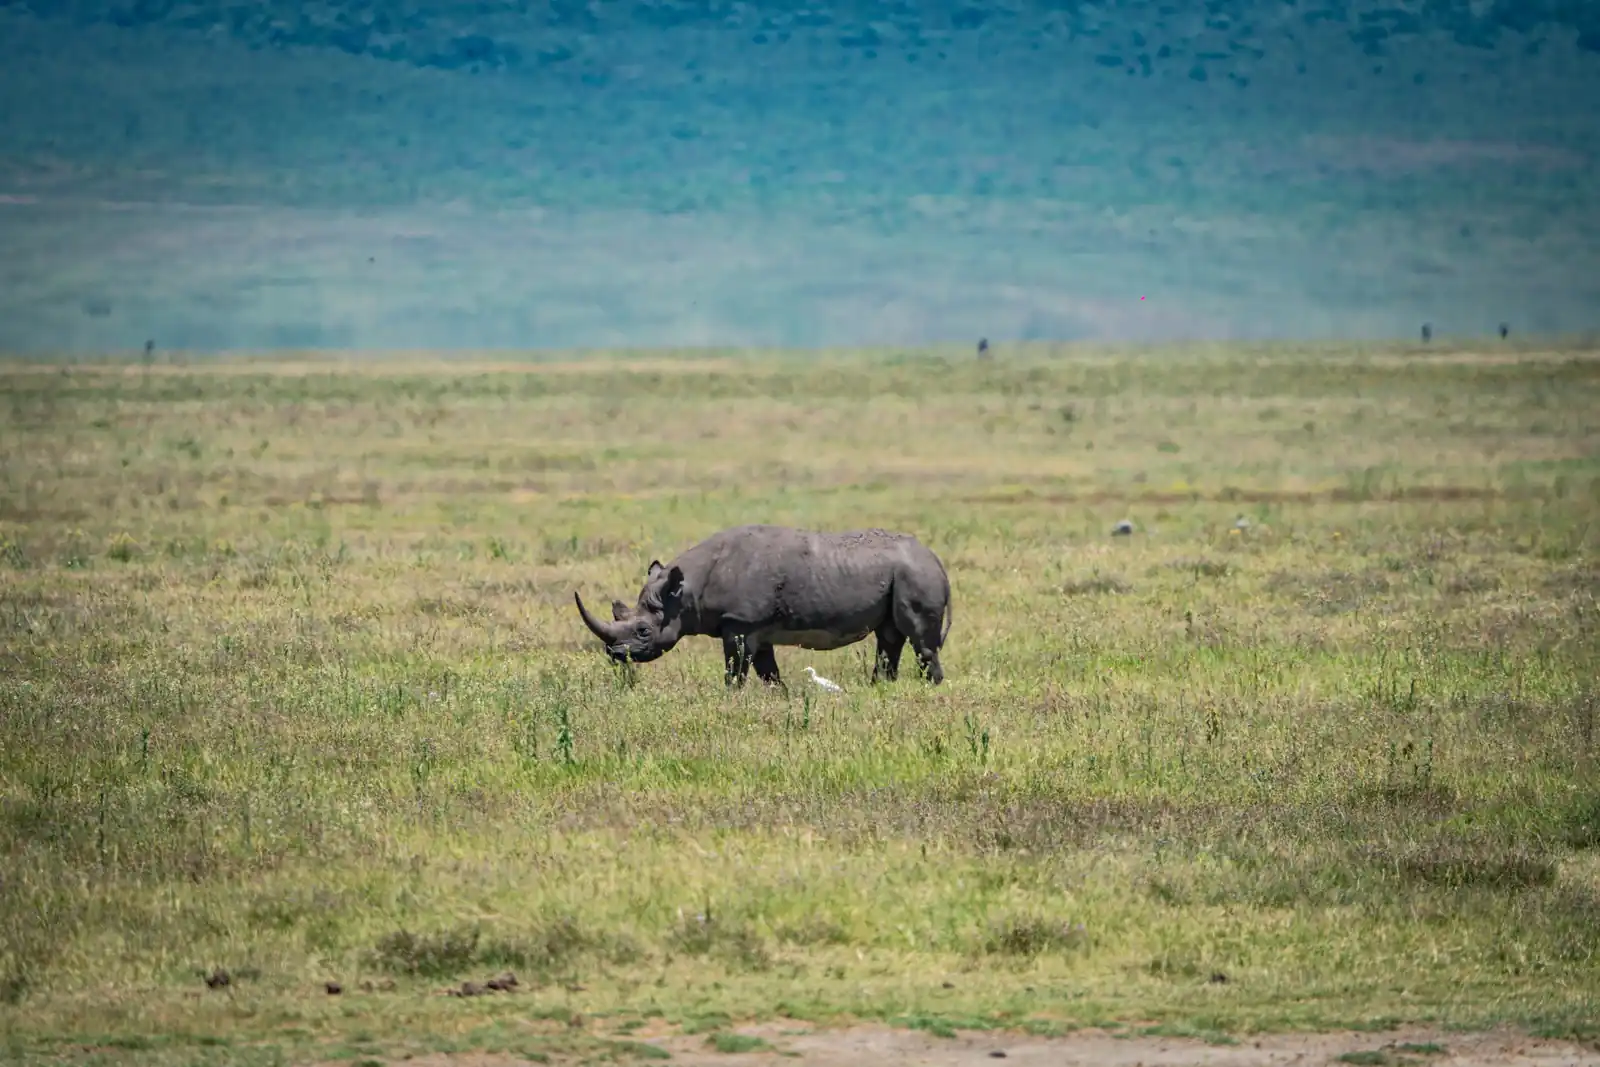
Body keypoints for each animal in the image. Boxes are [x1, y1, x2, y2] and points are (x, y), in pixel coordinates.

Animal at [573, 524, 953, 686]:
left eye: (643, 630)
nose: (615, 654)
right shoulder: (756, 627)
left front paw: (731, 698)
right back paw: (881, 688)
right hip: (902, 573)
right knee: (889, 636)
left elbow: (735, 670)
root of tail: (936, 559)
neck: (685, 591)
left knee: (919, 640)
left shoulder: (740, 623)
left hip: (915, 573)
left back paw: (929, 689)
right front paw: (779, 696)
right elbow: (768, 671)